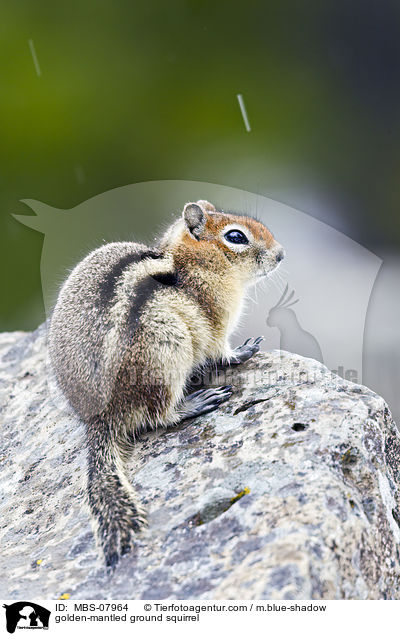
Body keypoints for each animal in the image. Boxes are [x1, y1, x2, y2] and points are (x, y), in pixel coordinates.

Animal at [47, 199, 284, 568]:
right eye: (236, 237)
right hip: (166, 350)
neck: (193, 263)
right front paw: (244, 351)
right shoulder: (216, 323)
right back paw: (196, 402)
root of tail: (100, 417)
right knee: (158, 415)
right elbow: (222, 352)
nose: (281, 254)